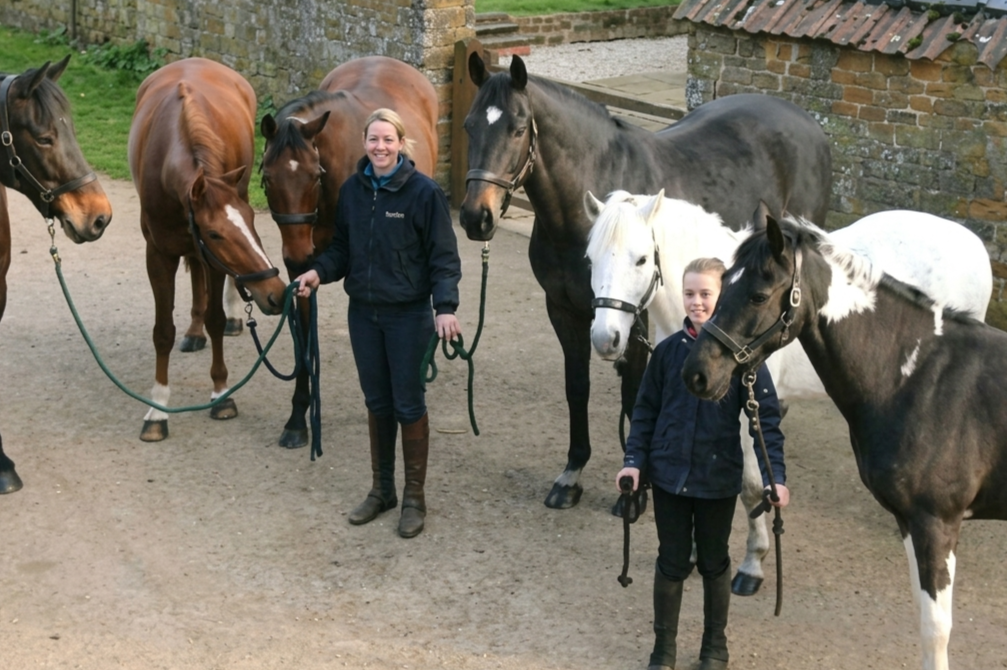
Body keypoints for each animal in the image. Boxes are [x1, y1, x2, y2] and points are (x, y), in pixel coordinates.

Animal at [128, 57, 287, 442]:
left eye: (252, 219)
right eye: (215, 234)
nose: (276, 292)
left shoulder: (214, 257)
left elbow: (215, 319)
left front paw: (221, 394)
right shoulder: (159, 254)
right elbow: (162, 332)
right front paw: (157, 410)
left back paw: (231, 316)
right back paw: (193, 330)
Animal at [459, 52, 833, 512]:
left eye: (516, 128)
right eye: (469, 125)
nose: (476, 217)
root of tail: (808, 122)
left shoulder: (634, 318)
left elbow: (634, 392)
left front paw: (635, 494)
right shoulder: (565, 310)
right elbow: (576, 387)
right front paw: (572, 474)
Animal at [585, 190, 992, 595]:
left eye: (641, 259)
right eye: (590, 258)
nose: (606, 339)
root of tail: (973, 242)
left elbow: (750, 487)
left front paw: (752, 565)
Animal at [681, 213, 1001, 670]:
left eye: (758, 296)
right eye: (722, 282)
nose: (697, 374)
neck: (920, 375)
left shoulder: (935, 523)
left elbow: (935, 630)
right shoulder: (910, 522)